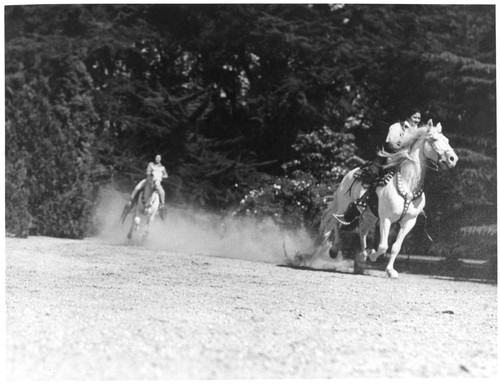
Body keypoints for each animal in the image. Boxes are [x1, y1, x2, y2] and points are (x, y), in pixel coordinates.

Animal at [312, 121, 458, 278]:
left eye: (447, 140)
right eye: (434, 139)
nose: (453, 159)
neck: (407, 185)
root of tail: (349, 174)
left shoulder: (408, 222)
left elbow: (395, 247)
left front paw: (390, 270)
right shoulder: (385, 219)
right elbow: (383, 246)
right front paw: (373, 255)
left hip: (370, 216)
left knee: (362, 229)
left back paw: (362, 255)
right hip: (344, 207)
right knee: (336, 224)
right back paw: (334, 249)